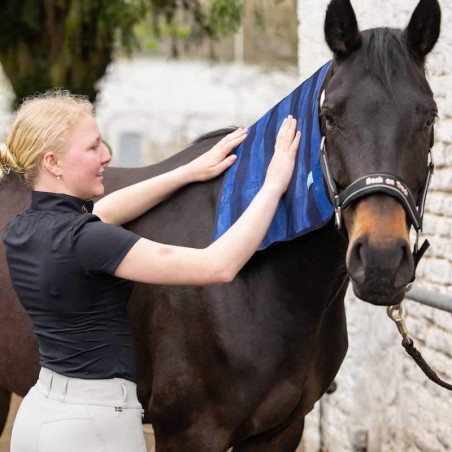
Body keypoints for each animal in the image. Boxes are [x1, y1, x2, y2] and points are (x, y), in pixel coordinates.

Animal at [0, 1, 442, 450]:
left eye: (429, 117)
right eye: (329, 116)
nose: (381, 262)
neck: (270, 281)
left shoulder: (282, 430)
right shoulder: (189, 432)